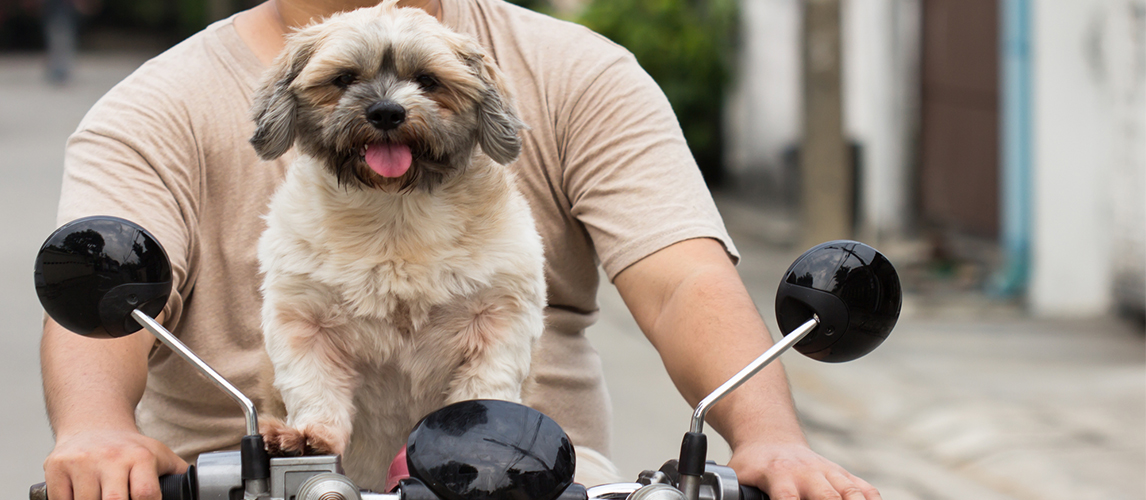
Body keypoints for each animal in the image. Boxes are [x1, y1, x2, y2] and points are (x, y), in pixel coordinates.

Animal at [245, 1, 545, 490]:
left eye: (428, 80)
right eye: (344, 78)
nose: (386, 111)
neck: (394, 214)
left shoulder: (500, 318)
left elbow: (485, 387)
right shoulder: (304, 319)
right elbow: (315, 385)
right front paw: (310, 436)